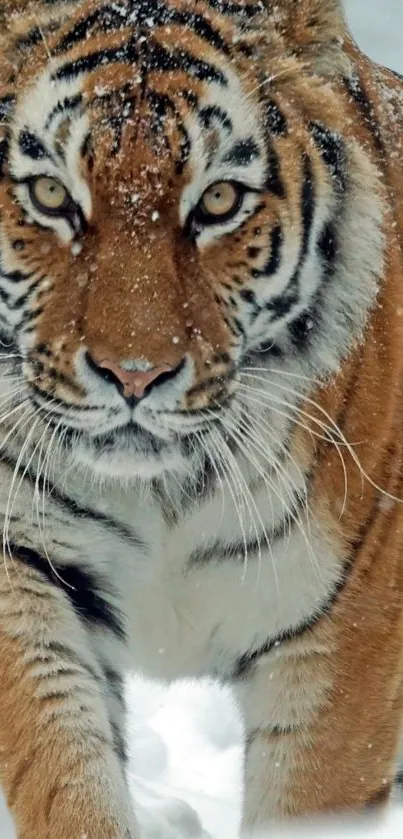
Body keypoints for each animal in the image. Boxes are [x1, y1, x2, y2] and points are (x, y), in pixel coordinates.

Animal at [0, 0, 403, 836]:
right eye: (51, 195)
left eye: (217, 201)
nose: (133, 374)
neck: (161, 491)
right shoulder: (23, 563)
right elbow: (66, 778)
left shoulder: (346, 636)